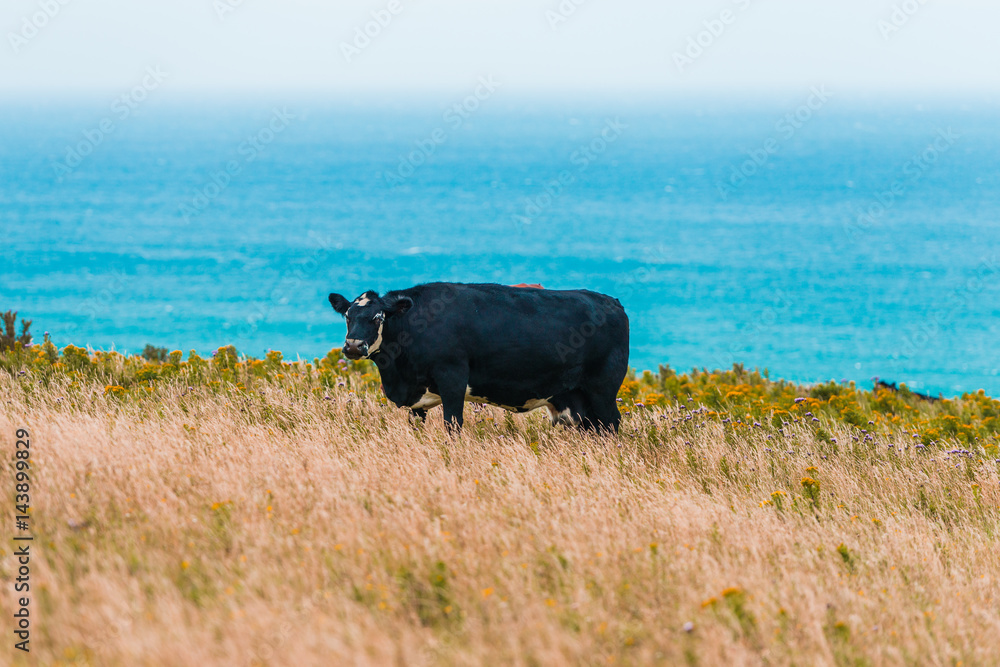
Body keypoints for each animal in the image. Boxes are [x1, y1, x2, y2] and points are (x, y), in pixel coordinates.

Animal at [328, 282, 628, 434]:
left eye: (378, 317)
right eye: (348, 316)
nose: (353, 346)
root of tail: (611, 301)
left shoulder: (453, 377)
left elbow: (452, 424)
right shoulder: (417, 396)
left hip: (603, 389)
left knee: (611, 423)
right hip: (577, 397)